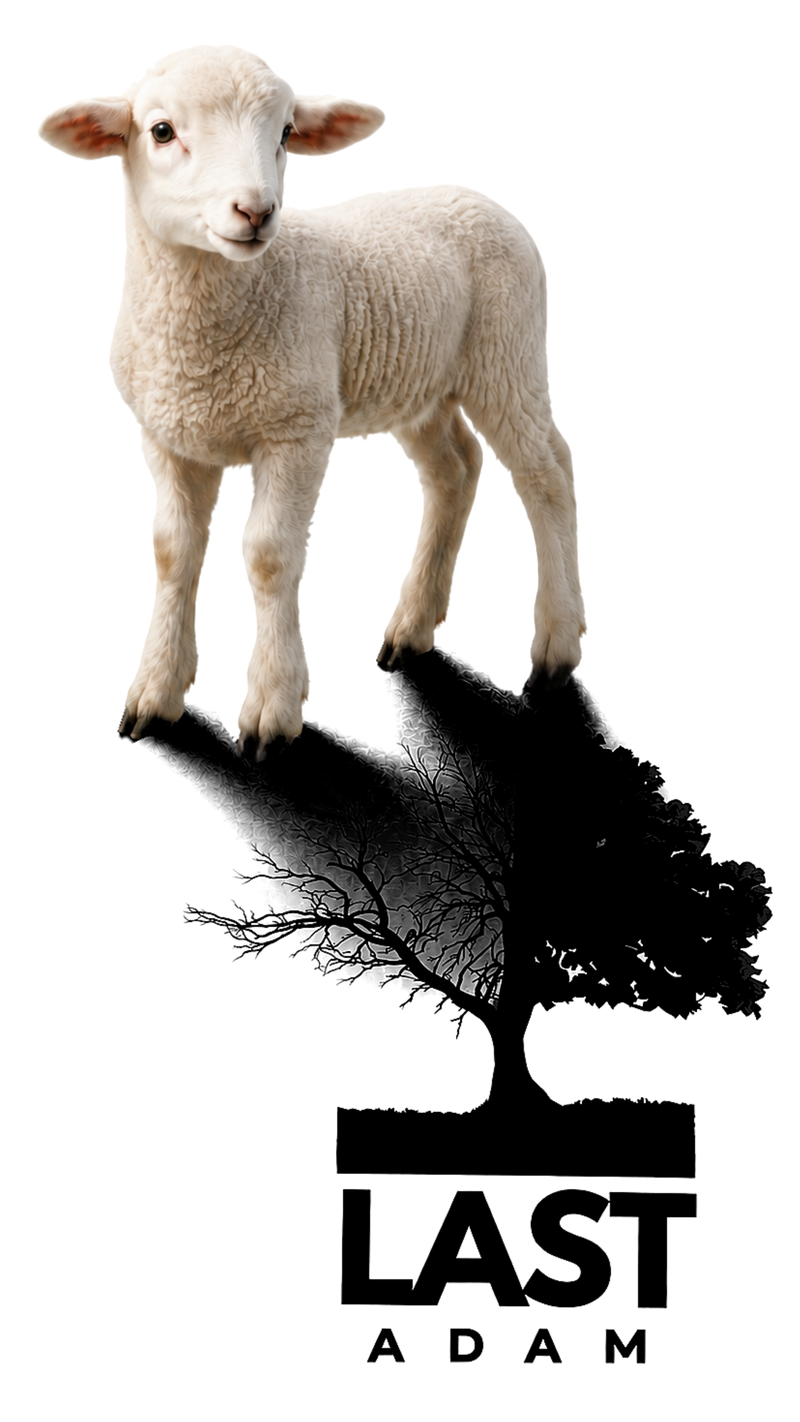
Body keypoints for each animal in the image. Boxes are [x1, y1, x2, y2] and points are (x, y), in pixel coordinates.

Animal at [35, 41, 588, 760]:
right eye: (160, 131)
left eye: (286, 133)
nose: (255, 212)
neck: (205, 336)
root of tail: (474, 192)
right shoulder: (167, 435)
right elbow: (171, 550)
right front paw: (153, 696)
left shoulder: (295, 429)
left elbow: (268, 557)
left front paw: (270, 709)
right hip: (422, 385)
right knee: (455, 471)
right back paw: (409, 631)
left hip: (509, 353)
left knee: (548, 474)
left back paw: (556, 645)